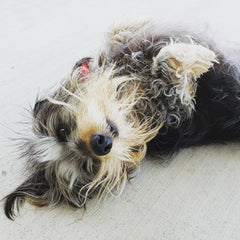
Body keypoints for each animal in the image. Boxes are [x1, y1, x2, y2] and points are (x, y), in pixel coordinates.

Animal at [3, 19, 240, 220]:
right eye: (86, 166)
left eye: (61, 130)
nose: (101, 145)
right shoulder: (181, 103)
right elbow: (169, 68)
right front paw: (198, 56)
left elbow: (122, 33)